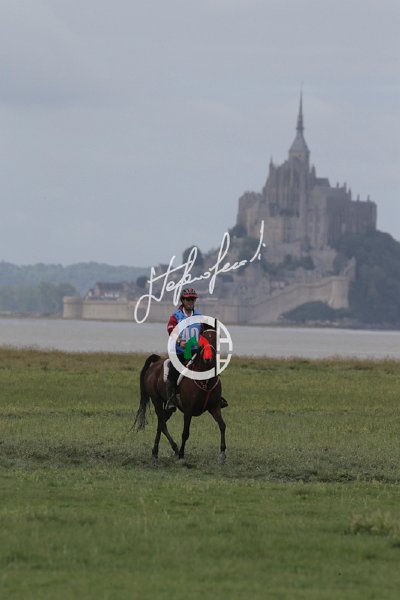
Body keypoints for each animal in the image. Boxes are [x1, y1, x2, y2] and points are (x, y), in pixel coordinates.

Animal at [134, 328, 227, 462]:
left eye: (216, 339)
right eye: (203, 340)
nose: (208, 359)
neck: (205, 380)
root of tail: (156, 362)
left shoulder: (214, 407)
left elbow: (222, 425)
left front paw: (222, 453)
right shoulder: (188, 410)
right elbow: (185, 433)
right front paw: (182, 454)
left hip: (168, 407)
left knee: (161, 424)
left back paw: (158, 451)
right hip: (157, 400)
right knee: (162, 424)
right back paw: (171, 450)